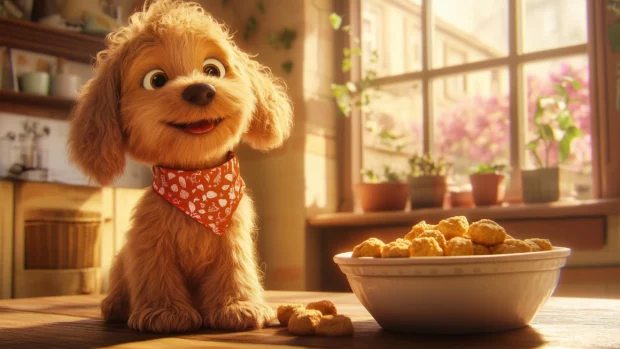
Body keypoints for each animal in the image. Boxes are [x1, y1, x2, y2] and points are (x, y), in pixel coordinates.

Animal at [69, 0, 292, 332]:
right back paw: (115, 305)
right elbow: (157, 276)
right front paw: (165, 313)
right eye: (156, 79)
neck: (197, 181)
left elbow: (234, 272)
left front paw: (238, 307)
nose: (200, 90)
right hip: (123, 261)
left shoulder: (232, 240)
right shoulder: (151, 241)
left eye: (213, 69)